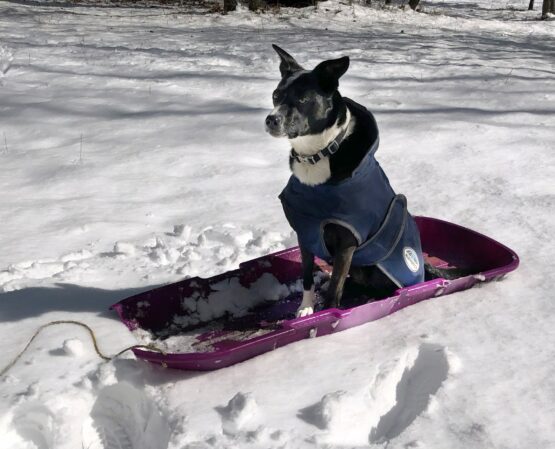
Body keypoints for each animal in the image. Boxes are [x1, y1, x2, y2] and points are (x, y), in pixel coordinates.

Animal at [264, 44, 426, 316]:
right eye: (276, 96)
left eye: (303, 99)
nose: (271, 119)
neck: (318, 154)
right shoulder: (305, 232)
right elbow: (307, 276)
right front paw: (306, 309)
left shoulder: (347, 242)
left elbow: (334, 290)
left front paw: (329, 314)